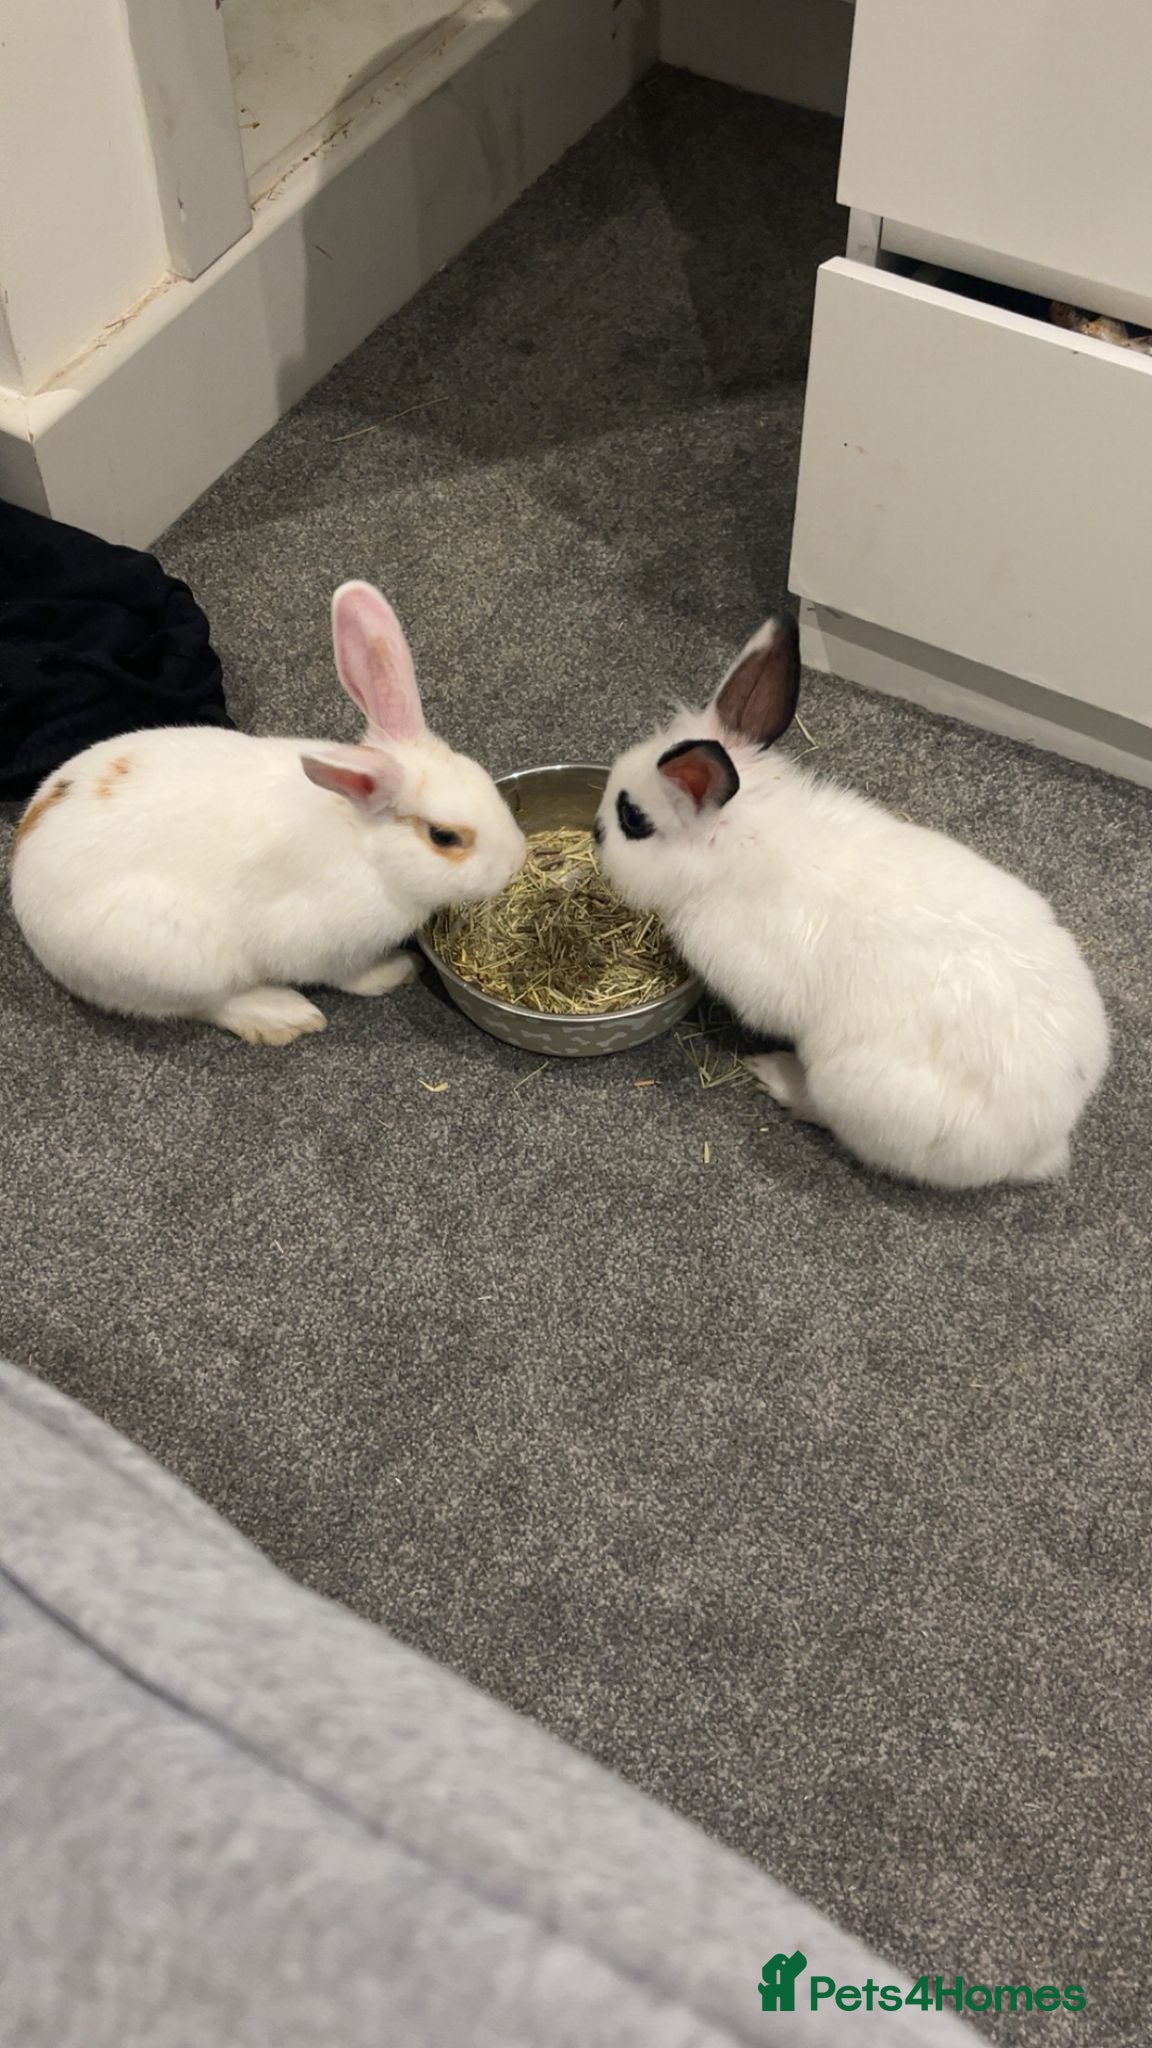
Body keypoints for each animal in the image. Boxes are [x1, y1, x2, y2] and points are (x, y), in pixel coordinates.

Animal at [9, 580, 526, 1044]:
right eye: (444, 837)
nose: (516, 861)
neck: (367, 847)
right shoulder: (325, 944)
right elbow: (350, 977)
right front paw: (397, 970)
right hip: (176, 959)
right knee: (204, 1004)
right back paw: (284, 1016)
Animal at [595, 612, 1109, 1188]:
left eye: (632, 819)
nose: (594, 832)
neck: (731, 845)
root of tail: (1045, 1141)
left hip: (849, 1086)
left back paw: (776, 1076)